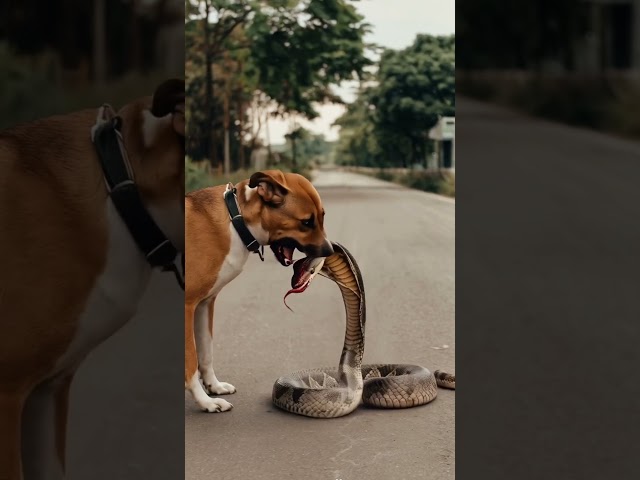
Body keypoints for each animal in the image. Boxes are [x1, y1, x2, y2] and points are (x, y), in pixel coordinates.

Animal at [184, 170, 332, 412]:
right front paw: (205, 401)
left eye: (322, 217)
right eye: (306, 222)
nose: (329, 251)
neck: (236, 221)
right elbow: (191, 362)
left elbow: (206, 354)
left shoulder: (205, 304)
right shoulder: (187, 306)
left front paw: (214, 386)